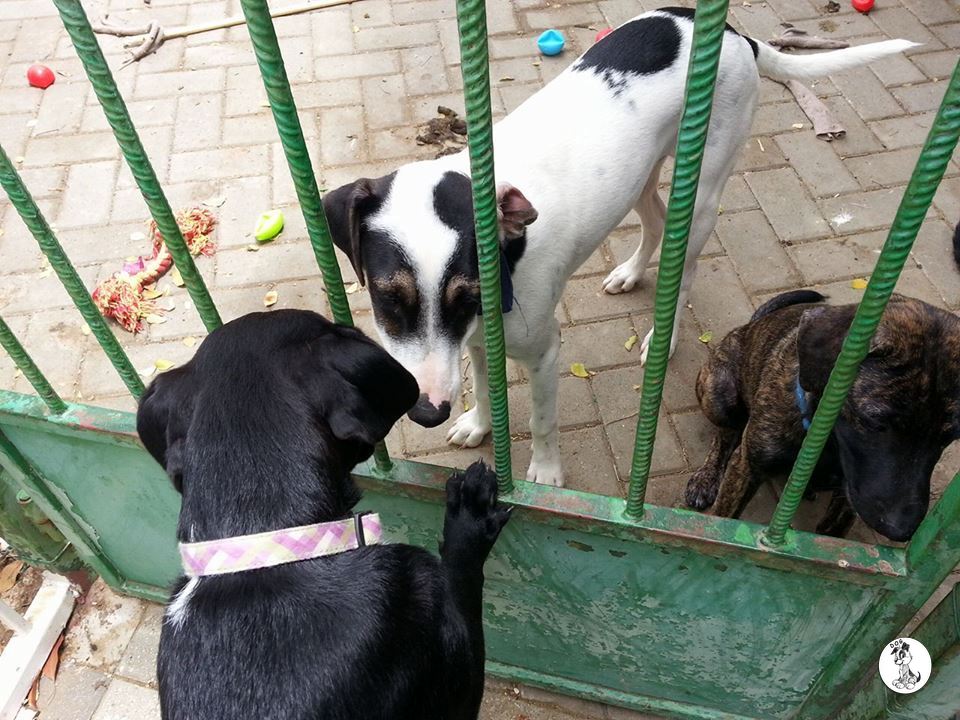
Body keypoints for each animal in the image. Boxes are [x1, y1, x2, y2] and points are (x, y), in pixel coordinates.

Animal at [323, 7, 915, 488]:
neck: (510, 255)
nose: (427, 413)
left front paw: (545, 474)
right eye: (387, 298)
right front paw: (478, 423)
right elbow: (486, 384)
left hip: (702, 195)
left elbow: (542, 420)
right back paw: (630, 272)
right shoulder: (473, 340)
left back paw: (663, 335)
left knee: (685, 265)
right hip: (641, 180)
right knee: (654, 222)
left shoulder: (542, 350)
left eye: (467, 296)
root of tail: (736, 34)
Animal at [684, 291, 960, 541]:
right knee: (725, 434)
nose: (900, 530)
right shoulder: (746, 467)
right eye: (874, 421)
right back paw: (706, 478)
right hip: (720, 395)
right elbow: (724, 521)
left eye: (950, 437)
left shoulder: (850, 497)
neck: (827, 444)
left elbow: (835, 529)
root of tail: (751, 324)